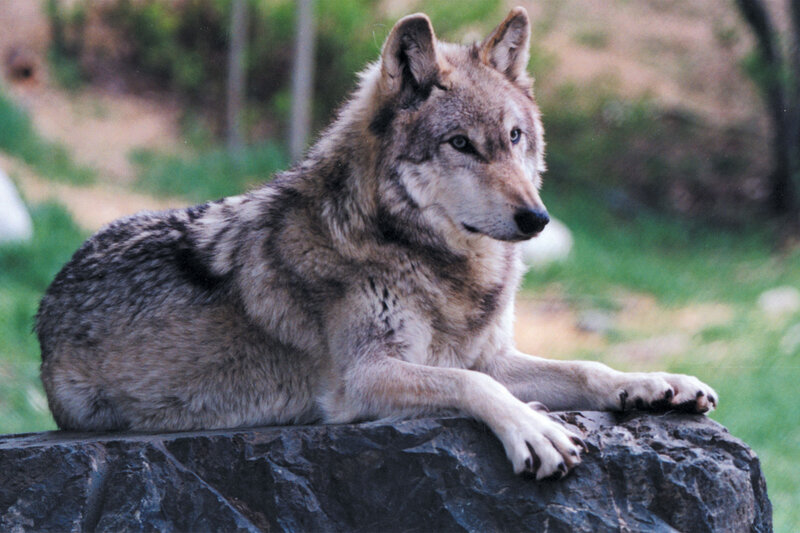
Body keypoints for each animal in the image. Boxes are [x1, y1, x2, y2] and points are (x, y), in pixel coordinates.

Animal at [36, 7, 717, 480]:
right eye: (460, 144)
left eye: (515, 137)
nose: (536, 219)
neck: (432, 262)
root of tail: (47, 302)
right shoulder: (364, 381)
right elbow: (473, 388)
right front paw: (533, 430)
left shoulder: (488, 354)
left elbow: (584, 366)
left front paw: (654, 383)